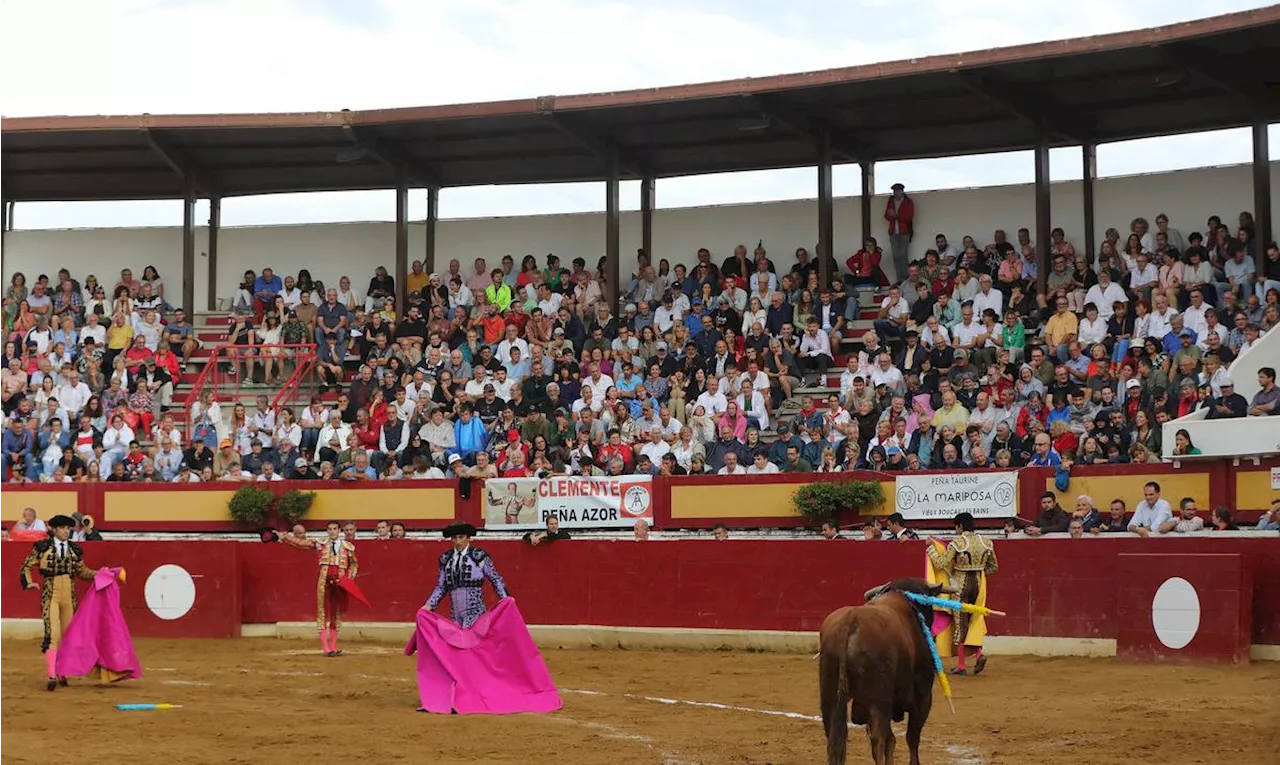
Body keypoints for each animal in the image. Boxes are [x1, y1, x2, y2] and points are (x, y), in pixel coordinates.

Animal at [814, 580, 957, 765]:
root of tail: (850, 621)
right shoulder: (922, 697)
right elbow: (911, 738)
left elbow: (892, 739)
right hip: (878, 700)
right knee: (878, 738)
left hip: (829, 695)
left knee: (833, 735)